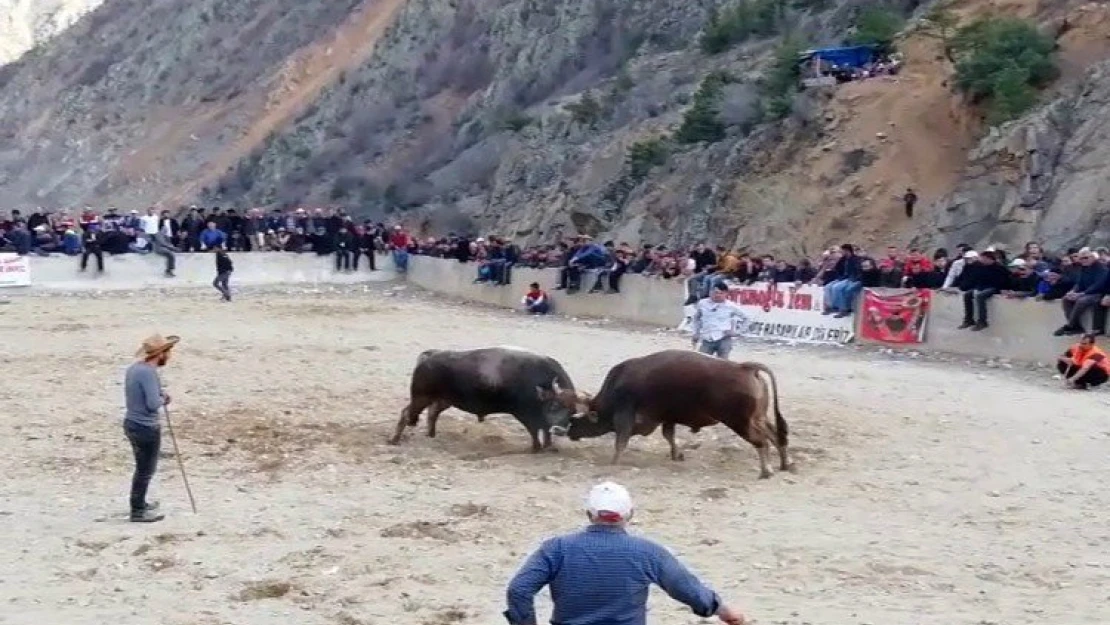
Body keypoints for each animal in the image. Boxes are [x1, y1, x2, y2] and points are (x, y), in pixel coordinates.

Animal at [552, 353, 794, 479]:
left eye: (575, 418)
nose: (568, 432)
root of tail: (744, 367)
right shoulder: (667, 418)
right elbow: (669, 436)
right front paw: (677, 454)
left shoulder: (625, 417)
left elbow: (621, 442)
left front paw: (613, 463)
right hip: (758, 418)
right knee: (776, 436)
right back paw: (785, 463)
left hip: (740, 422)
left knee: (762, 441)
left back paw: (766, 470)